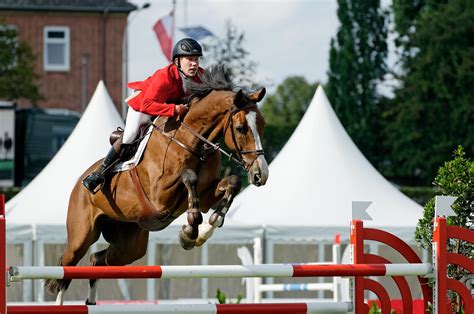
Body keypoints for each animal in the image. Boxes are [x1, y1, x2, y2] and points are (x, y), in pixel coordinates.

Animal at [46, 65, 270, 304]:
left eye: (262, 125)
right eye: (241, 128)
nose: (261, 175)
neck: (193, 141)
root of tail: (78, 183)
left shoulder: (206, 194)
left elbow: (232, 183)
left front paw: (207, 228)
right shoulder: (160, 197)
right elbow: (189, 177)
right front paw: (189, 232)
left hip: (129, 245)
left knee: (97, 259)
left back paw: (91, 301)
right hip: (81, 235)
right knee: (66, 268)